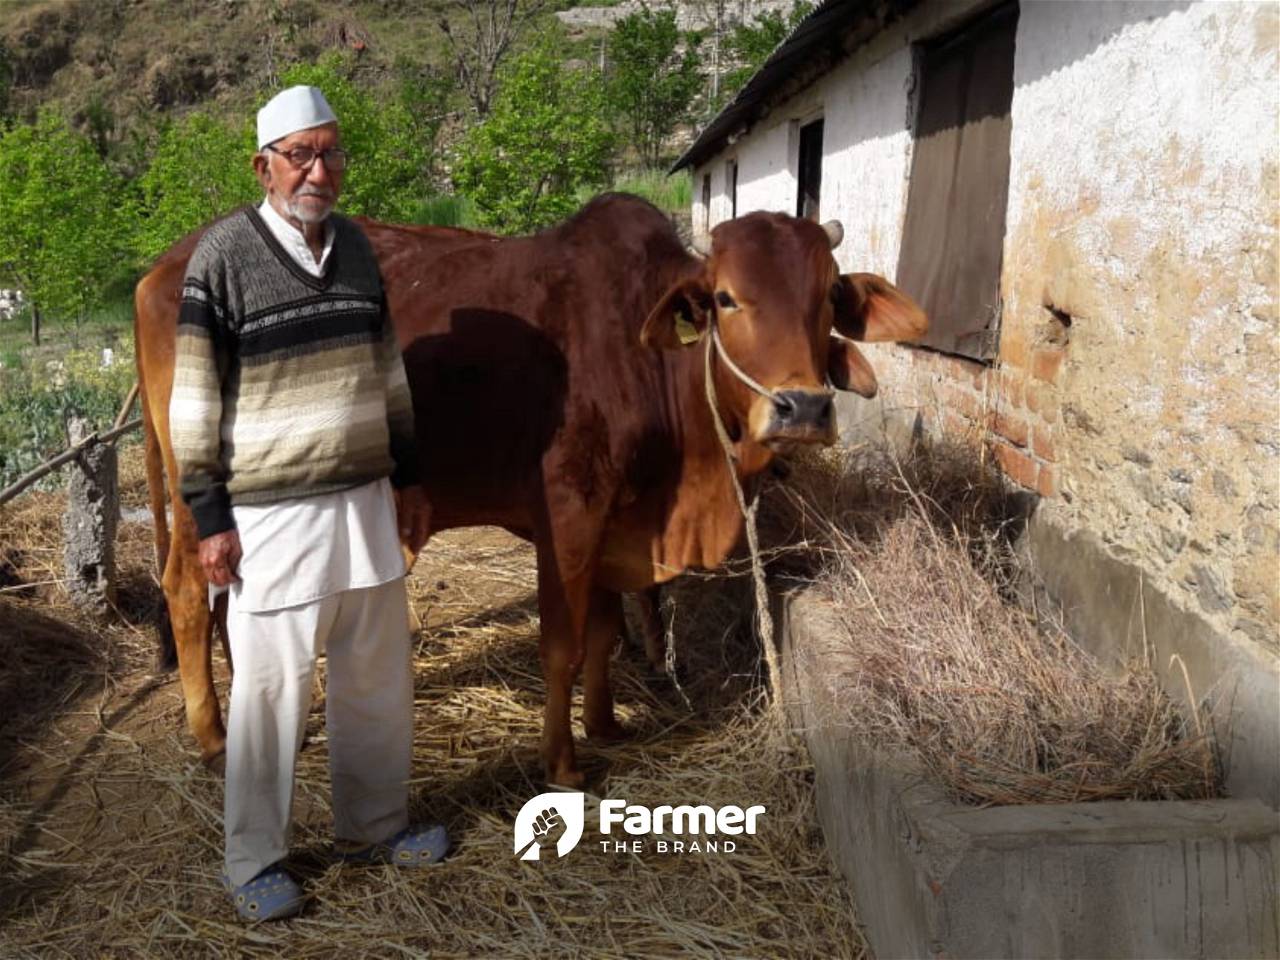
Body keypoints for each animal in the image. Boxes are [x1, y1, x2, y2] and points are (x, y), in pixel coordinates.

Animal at [137, 195, 921, 788]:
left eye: (827, 297)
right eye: (727, 298)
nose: (802, 408)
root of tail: (161, 269)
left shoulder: (616, 525)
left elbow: (604, 635)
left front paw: (605, 725)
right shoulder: (569, 514)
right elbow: (563, 646)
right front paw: (563, 765)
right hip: (198, 486)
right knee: (185, 590)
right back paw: (213, 738)